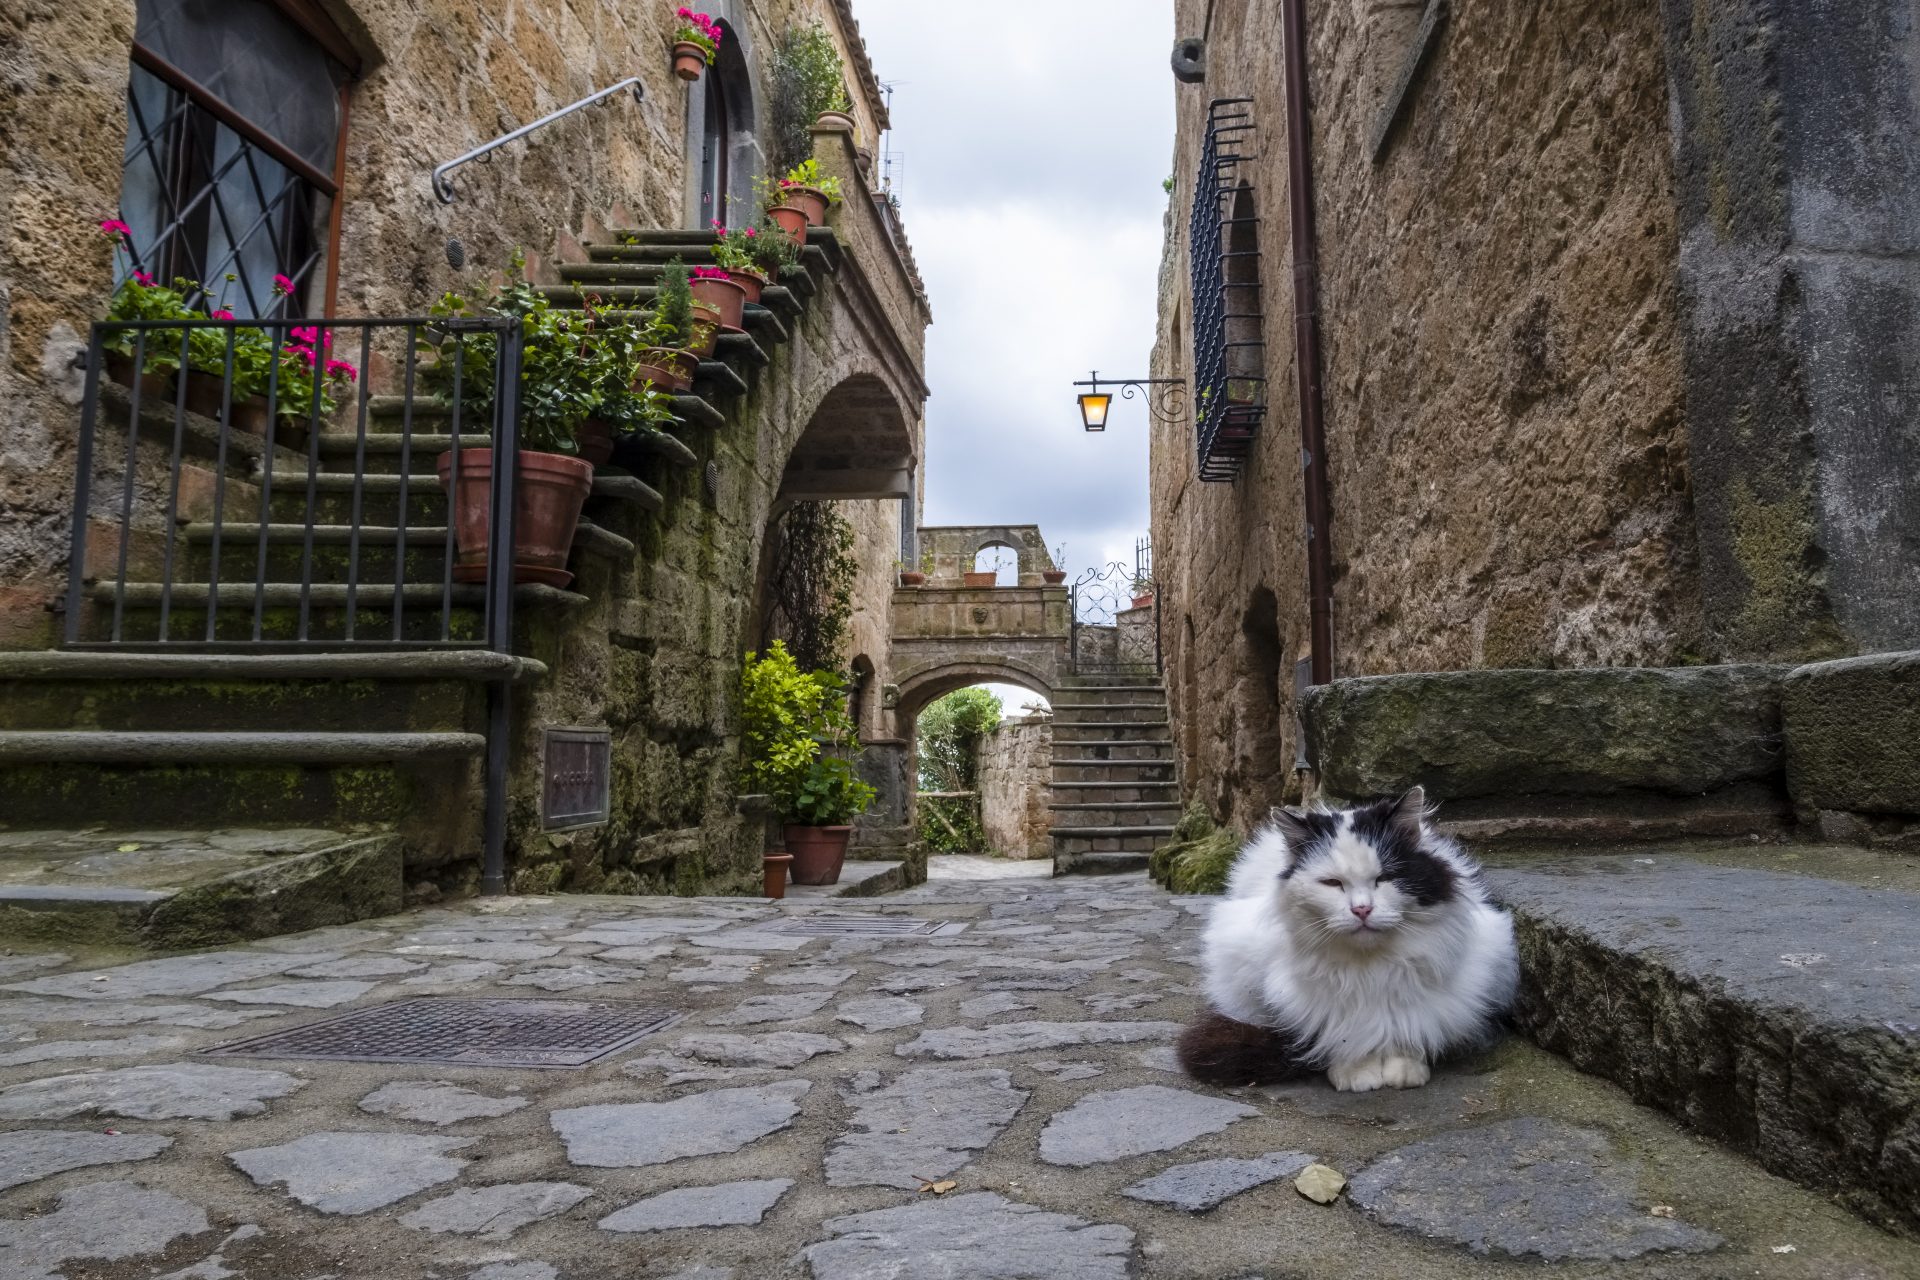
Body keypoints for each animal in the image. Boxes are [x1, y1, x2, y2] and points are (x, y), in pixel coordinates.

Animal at [1175, 790, 1520, 1090]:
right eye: (1332, 883)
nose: (1362, 909)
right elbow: (1343, 1035)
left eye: (1384, 879)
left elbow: (1410, 1027)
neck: (1369, 969)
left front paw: (1404, 1068)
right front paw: (1356, 1072)